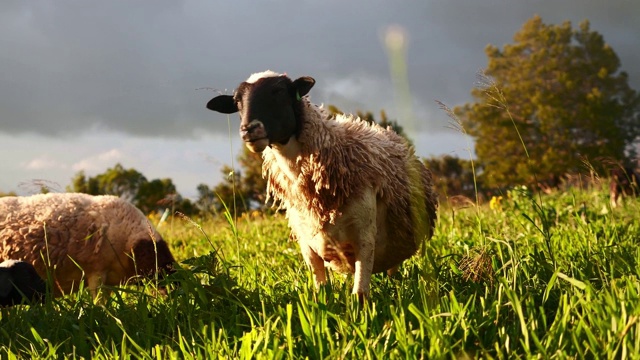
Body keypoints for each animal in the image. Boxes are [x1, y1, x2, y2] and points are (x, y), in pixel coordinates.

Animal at [208, 71, 438, 298]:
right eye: (237, 101)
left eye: (279, 91)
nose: (249, 130)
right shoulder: (306, 241)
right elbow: (321, 291)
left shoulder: (365, 237)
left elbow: (360, 294)